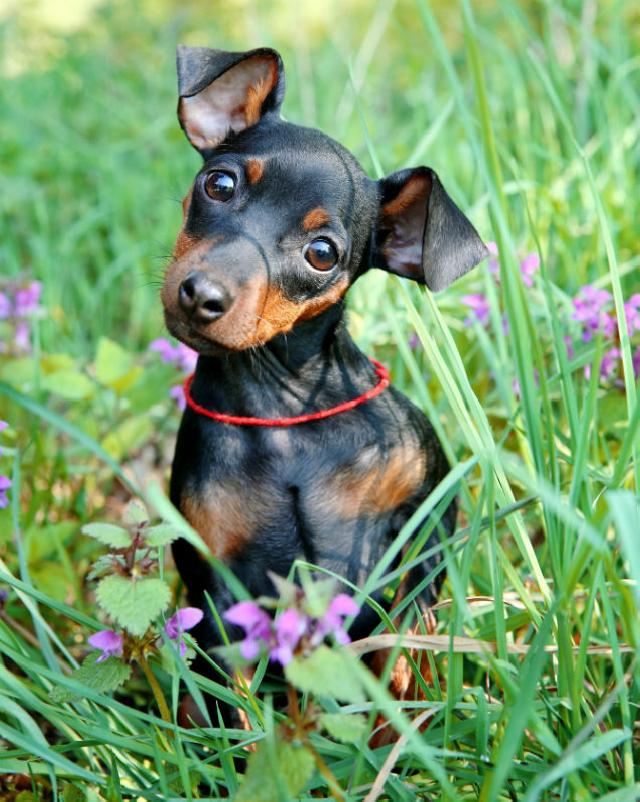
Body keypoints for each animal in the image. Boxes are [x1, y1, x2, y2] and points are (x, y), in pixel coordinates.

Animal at [161, 43, 484, 696]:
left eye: (322, 254)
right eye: (219, 183)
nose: (201, 294)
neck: (285, 410)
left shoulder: (423, 529)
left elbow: (404, 646)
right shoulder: (215, 594)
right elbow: (230, 708)